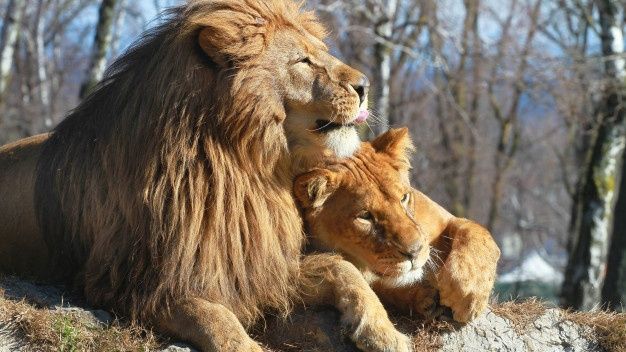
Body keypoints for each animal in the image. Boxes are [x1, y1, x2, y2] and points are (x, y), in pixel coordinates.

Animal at [0, 1, 410, 350]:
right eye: (303, 61)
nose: (365, 86)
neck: (245, 168)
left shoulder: (260, 263)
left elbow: (342, 268)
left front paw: (385, 333)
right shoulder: (136, 285)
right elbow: (215, 318)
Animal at [294, 128, 500, 324]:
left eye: (404, 197)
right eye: (365, 216)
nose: (415, 253)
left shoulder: (446, 220)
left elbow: (476, 232)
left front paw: (467, 292)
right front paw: (423, 298)